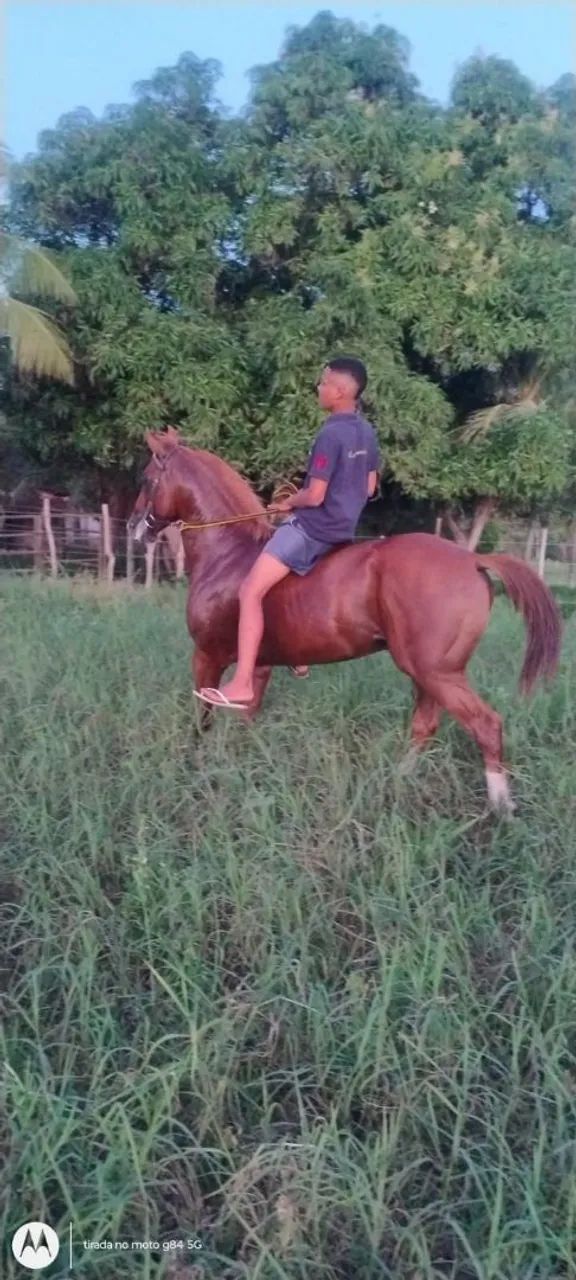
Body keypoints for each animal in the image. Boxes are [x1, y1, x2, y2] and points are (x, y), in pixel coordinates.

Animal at [128, 427, 562, 814]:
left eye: (147, 478)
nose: (133, 527)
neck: (229, 554)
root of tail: (472, 559)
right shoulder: (260, 667)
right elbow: (245, 720)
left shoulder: (207, 657)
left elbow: (202, 720)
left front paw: (198, 766)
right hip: (428, 675)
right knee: (425, 727)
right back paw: (398, 783)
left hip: (438, 673)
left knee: (485, 725)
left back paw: (500, 808)